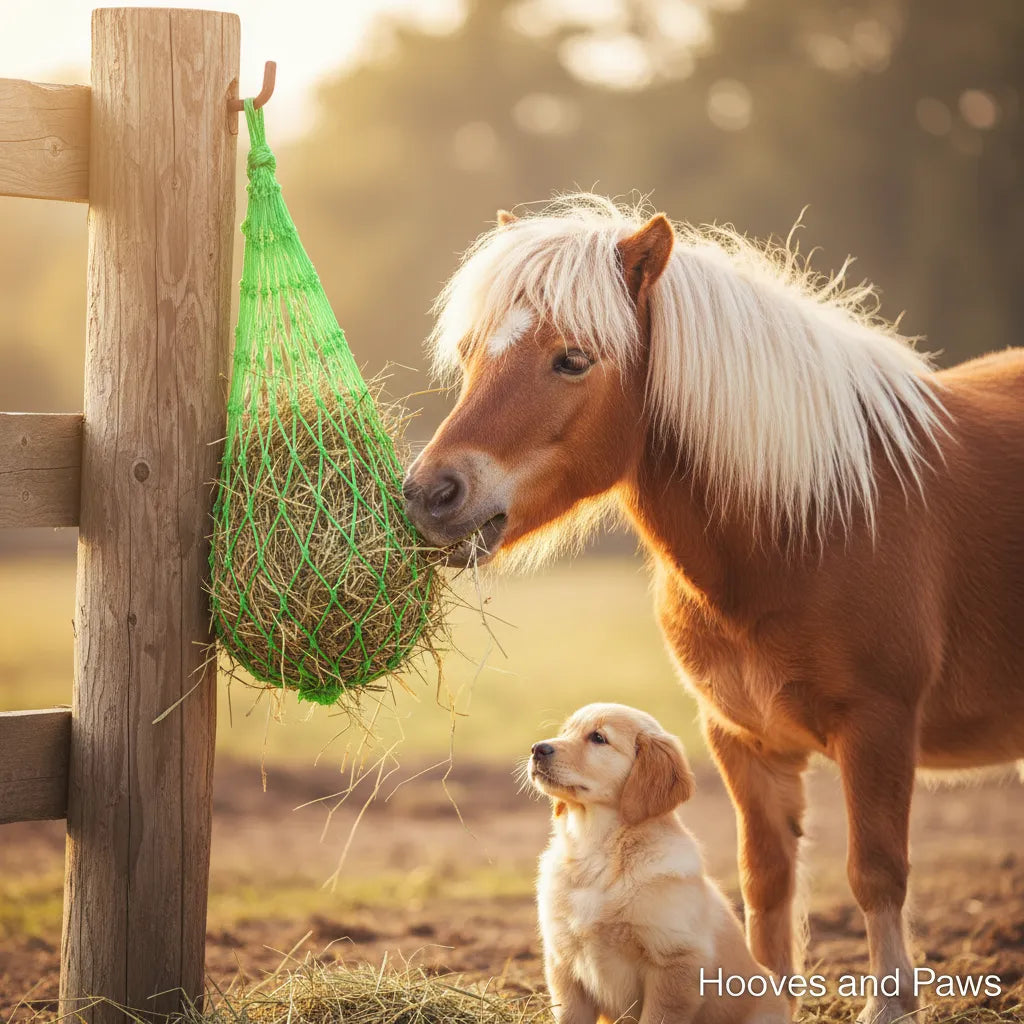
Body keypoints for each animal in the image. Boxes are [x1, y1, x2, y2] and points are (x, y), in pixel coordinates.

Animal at [402, 195, 1024, 1024]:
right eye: (472, 353)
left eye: (573, 358)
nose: (430, 495)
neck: (811, 524)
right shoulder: (741, 738)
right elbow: (766, 880)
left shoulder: (880, 727)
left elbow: (876, 872)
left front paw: (889, 1005)